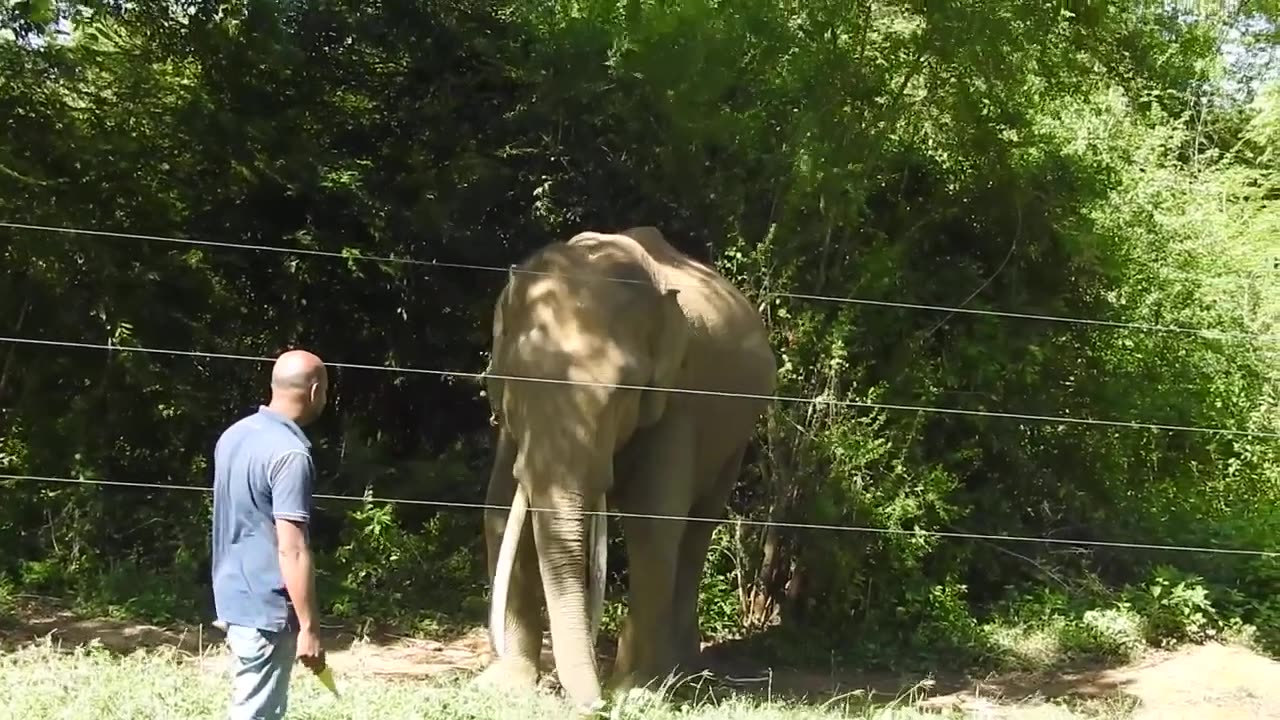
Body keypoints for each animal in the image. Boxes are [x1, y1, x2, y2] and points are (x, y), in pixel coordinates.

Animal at [478, 226, 778, 707]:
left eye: (622, 391)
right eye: (512, 379)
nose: (593, 703)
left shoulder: (676, 400)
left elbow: (653, 525)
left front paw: (637, 693)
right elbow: (500, 511)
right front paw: (505, 686)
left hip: (737, 432)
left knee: (697, 529)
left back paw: (682, 672)